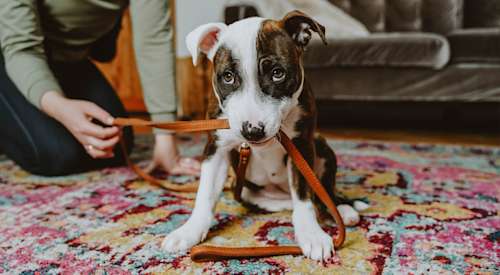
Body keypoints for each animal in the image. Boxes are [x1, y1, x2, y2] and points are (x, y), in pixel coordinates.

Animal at [163, 10, 368, 260]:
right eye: (228, 77)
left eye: (278, 73)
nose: (252, 130)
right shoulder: (216, 149)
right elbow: (205, 195)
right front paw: (189, 231)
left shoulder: (301, 145)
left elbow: (304, 195)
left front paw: (311, 234)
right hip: (244, 188)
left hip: (321, 146)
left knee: (322, 192)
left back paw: (343, 209)